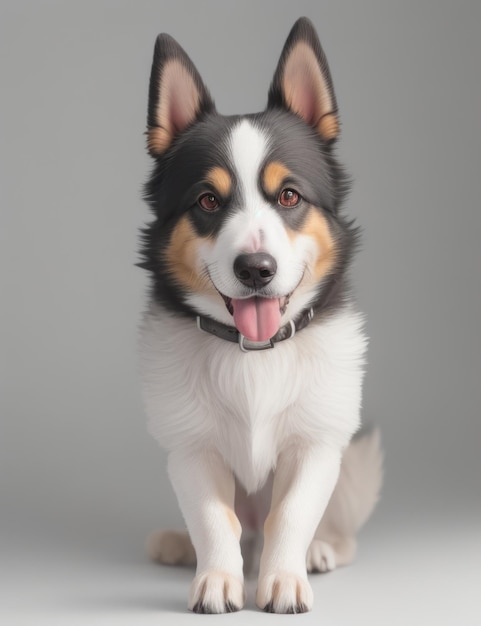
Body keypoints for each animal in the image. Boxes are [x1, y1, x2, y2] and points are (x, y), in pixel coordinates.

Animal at [137, 17, 380, 612]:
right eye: (207, 201)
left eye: (289, 196)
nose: (255, 269)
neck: (252, 352)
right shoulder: (191, 448)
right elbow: (213, 518)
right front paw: (216, 578)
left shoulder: (317, 446)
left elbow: (289, 515)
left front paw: (285, 578)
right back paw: (180, 546)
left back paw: (322, 550)